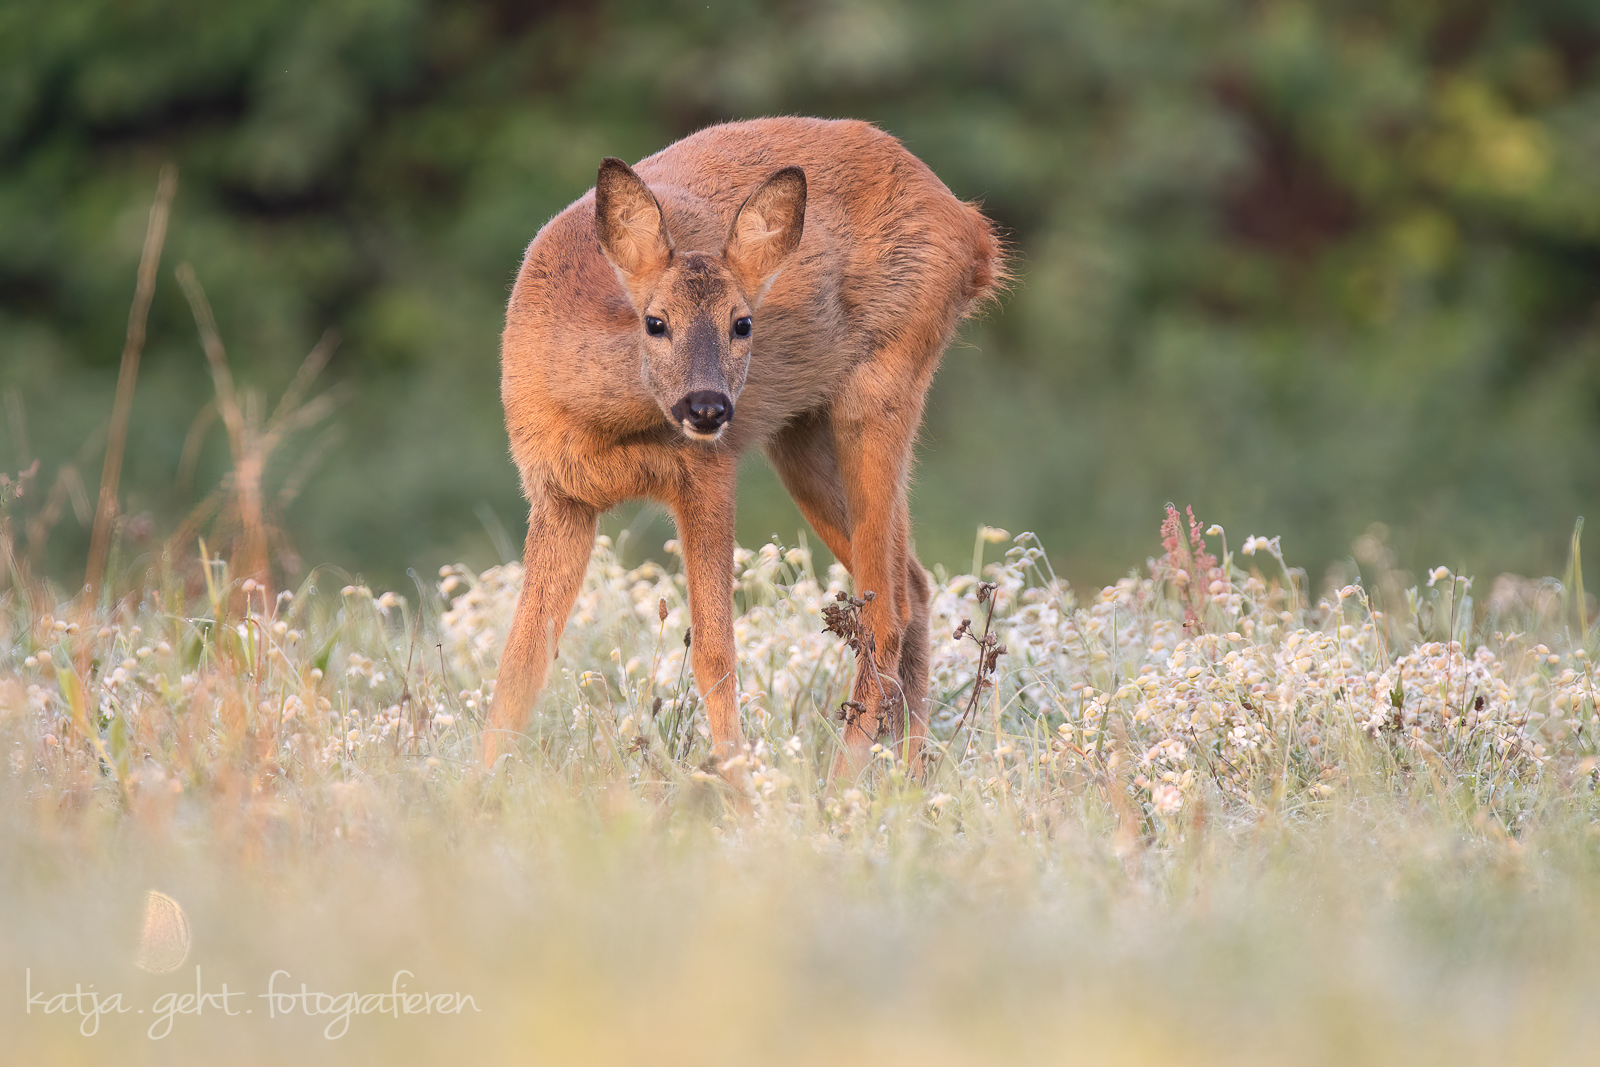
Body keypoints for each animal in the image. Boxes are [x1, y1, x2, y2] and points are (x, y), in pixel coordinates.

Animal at [486, 119, 1004, 777]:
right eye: (655, 321)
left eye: (743, 323)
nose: (708, 407)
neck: (596, 424)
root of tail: (972, 228)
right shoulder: (559, 495)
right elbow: (519, 665)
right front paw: (476, 786)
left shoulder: (707, 471)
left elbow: (714, 653)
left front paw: (736, 784)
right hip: (800, 436)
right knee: (911, 586)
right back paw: (910, 779)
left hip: (883, 385)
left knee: (884, 613)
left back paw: (843, 787)